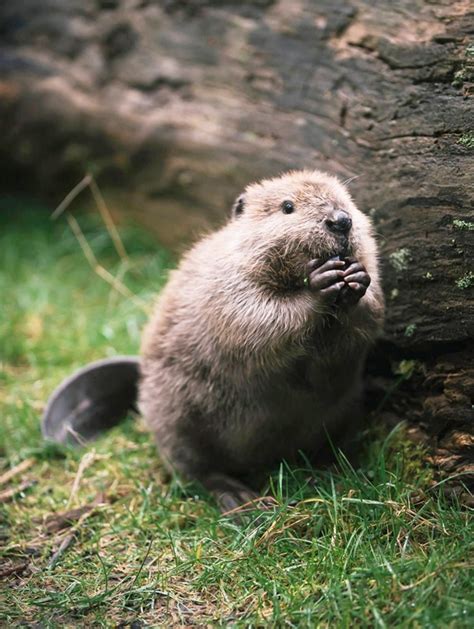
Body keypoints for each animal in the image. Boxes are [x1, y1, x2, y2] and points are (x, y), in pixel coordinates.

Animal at [42, 169, 386, 512]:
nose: (341, 220)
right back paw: (239, 499)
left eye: (347, 200)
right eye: (288, 206)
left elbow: (367, 320)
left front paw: (357, 279)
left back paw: (332, 472)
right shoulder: (225, 282)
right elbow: (255, 319)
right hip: (175, 417)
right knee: (194, 469)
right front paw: (321, 282)